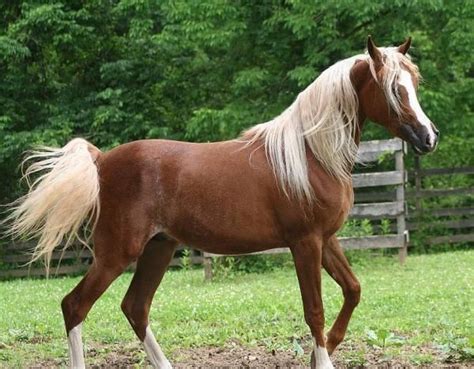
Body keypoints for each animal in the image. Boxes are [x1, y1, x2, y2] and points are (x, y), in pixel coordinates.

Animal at [4, 38, 440, 368]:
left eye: (414, 83)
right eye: (394, 89)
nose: (429, 137)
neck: (309, 155)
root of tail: (102, 160)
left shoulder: (326, 240)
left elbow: (353, 290)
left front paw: (326, 349)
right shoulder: (305, 243)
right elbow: (314, 309)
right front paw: (323, 358)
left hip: (159, 249)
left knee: (135, 307)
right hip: (116, 253)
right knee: (75, 306)